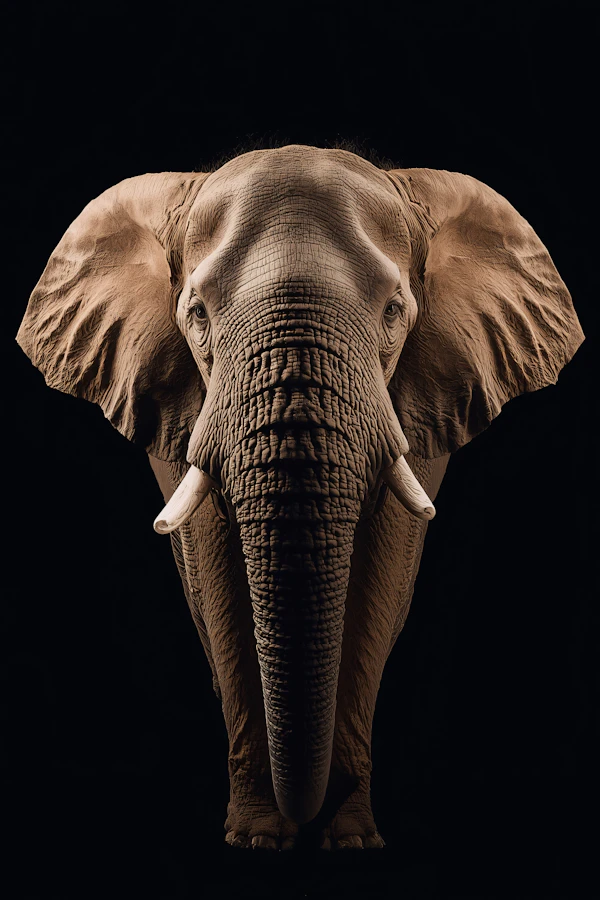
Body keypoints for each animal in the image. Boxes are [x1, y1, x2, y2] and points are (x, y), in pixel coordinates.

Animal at [16, 144, 584, 851]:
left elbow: (381, 582)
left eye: (394, 311)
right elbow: (220, 588)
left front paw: (352, 838)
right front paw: (258, 838)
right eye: (197, 315)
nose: (304, 819)